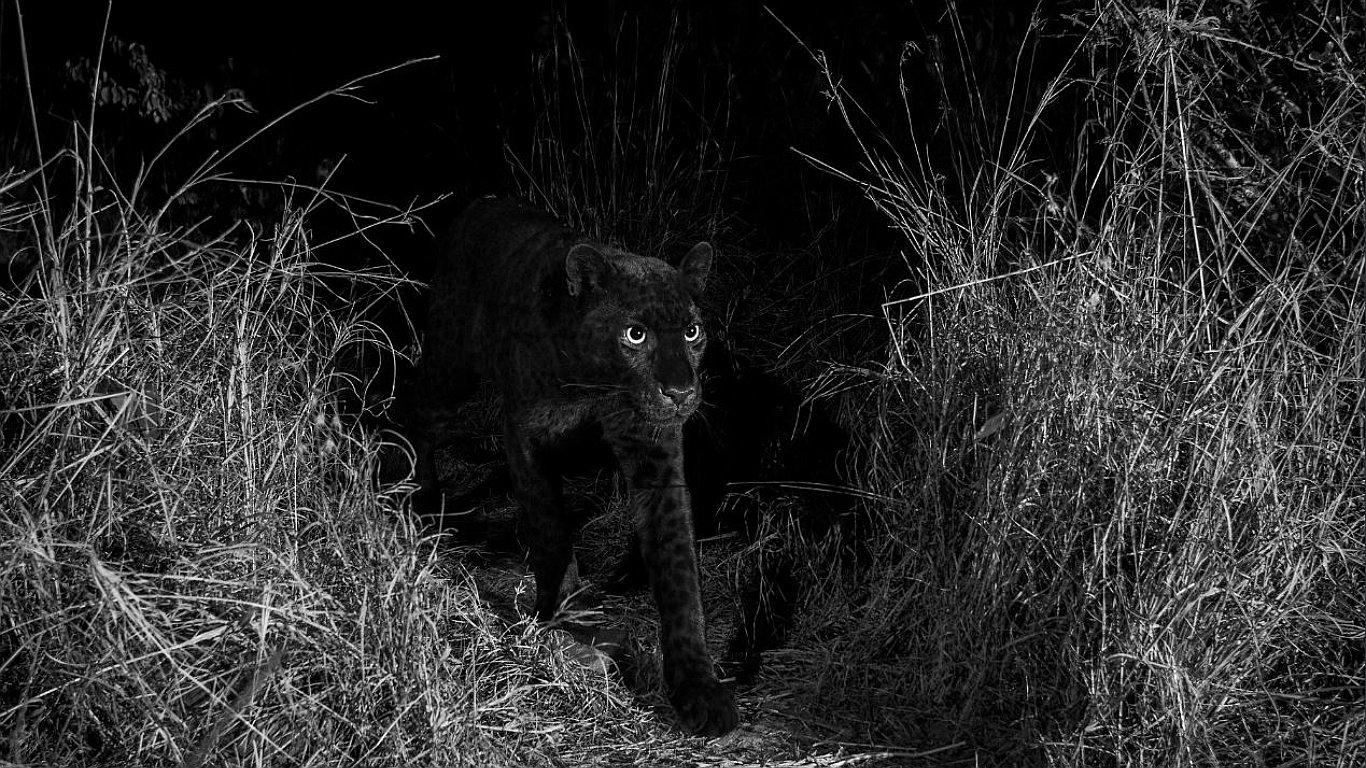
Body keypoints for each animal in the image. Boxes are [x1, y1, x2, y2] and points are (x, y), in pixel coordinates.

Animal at [406, 196, 740, 736]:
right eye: (635, 334)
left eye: (692, 331)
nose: (680, 391)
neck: (597, 385)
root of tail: (478, 203)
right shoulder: (525, 432)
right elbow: (550, 527)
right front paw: (563, 618)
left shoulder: (654, 451)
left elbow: (677, 567)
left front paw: (699, 688)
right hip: (453, 366)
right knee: (413, 402)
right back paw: (419, 499)